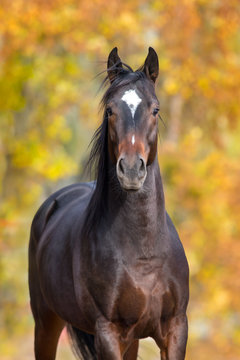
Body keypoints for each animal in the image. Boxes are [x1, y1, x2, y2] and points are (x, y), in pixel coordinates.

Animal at [28, 47, 189, 360]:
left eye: (155, 109)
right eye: (110, 110)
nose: (131, 170)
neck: (144, 253)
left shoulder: (175, 329)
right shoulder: (109, 333)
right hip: (46, 323)